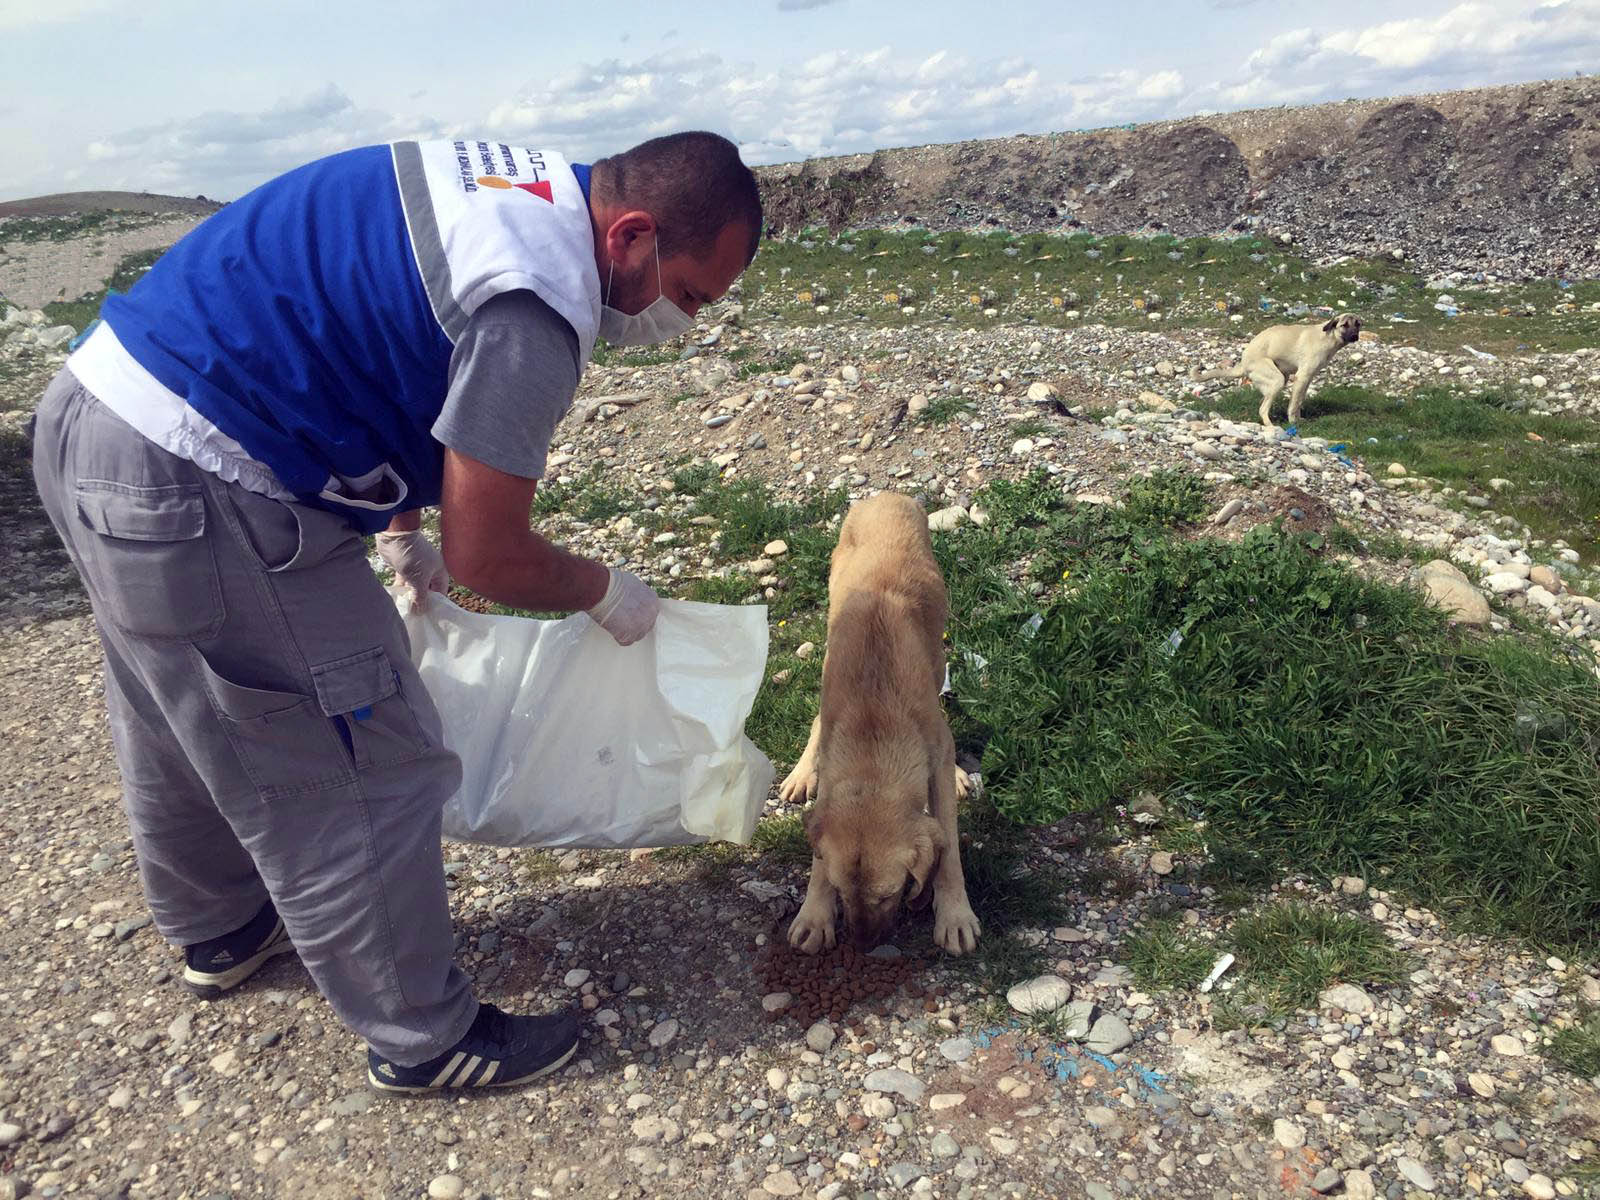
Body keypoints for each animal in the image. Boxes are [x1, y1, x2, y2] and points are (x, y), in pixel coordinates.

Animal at [780, 489, 979, 960]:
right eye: (841, 892)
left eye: (890, 893)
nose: (863, 946)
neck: (873, 725)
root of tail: (883, 496)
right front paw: (814, 914)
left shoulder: (932, 746)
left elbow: (949, 848)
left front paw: (954, 914)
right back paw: (801, 772)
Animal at [1190, 315, 1363, 432]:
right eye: (1344, 325)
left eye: (1358, 325)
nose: (1355, 336)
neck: (1328, 337)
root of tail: (1244, 362)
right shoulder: (1302, 377)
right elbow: (1293, 405)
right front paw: (1294, 423)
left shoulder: (1307, 380)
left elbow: (1299, 402)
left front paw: (1299, 419)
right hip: (1277, 380)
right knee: (1262, 409)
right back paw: (1271, 426)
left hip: (1280, 378)